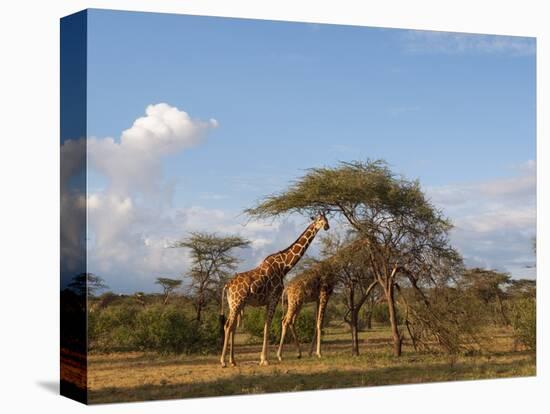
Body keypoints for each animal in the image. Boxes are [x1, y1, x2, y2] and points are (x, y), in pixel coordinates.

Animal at [221, 213, 332, 366]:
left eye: (326, 219)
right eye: (320, 220)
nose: (327, 227)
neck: (284, 266)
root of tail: (228, 285)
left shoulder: (270, 301)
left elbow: (266, 326)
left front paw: (263, 358)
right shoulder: (274, 298)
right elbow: (268, 326)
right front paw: (265, 359)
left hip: (235, 304)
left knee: (231, 327)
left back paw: (232, 361)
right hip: (237, 302)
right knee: (228, 326)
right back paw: (223, 361)